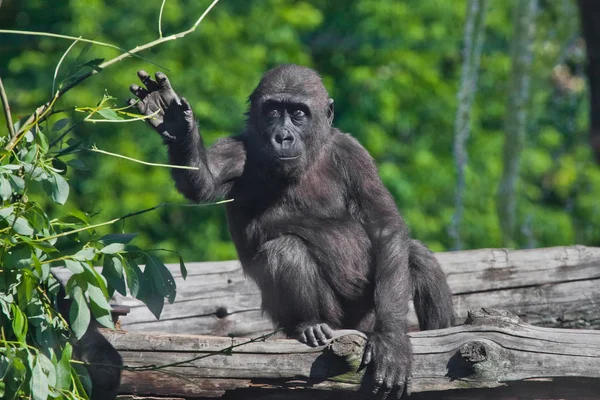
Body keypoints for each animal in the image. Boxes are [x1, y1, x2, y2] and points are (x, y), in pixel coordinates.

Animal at [127, 64, 454, 398]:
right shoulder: (237, 150)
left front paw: (392, 341)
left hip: (367, 318)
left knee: (414, 255)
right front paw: (177, 126)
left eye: (298, 112)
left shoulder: (353, 153)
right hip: (326, 320)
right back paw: (309, 324)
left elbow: (383, 226)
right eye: (273, 110)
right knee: (285, 250)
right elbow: (201, 180)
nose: (283, 136)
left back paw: (440, 332)